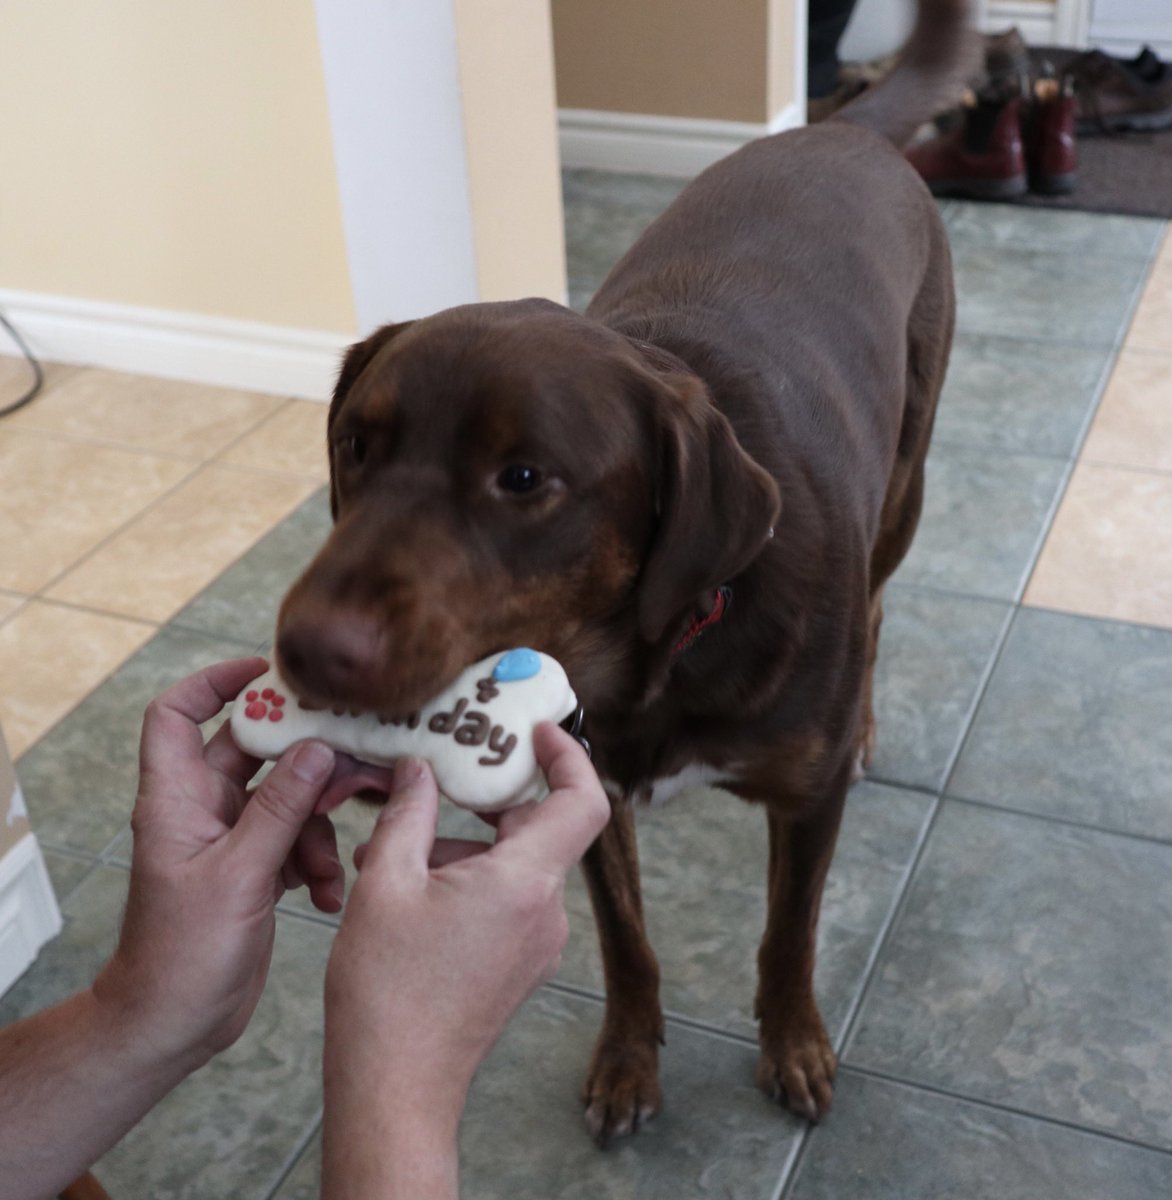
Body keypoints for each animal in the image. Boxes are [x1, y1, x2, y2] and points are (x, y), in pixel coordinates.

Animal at [274, 0, 969, 1142]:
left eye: (523, 477)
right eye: (356, 446)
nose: (306, 650)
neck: (651, 657)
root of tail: (845, 130)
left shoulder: (805, 800)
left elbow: (789, 932)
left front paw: (793, 1041)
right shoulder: (589, 782)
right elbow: (624, 940)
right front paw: (627, 1061)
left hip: (904, 487)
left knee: (877, 605)